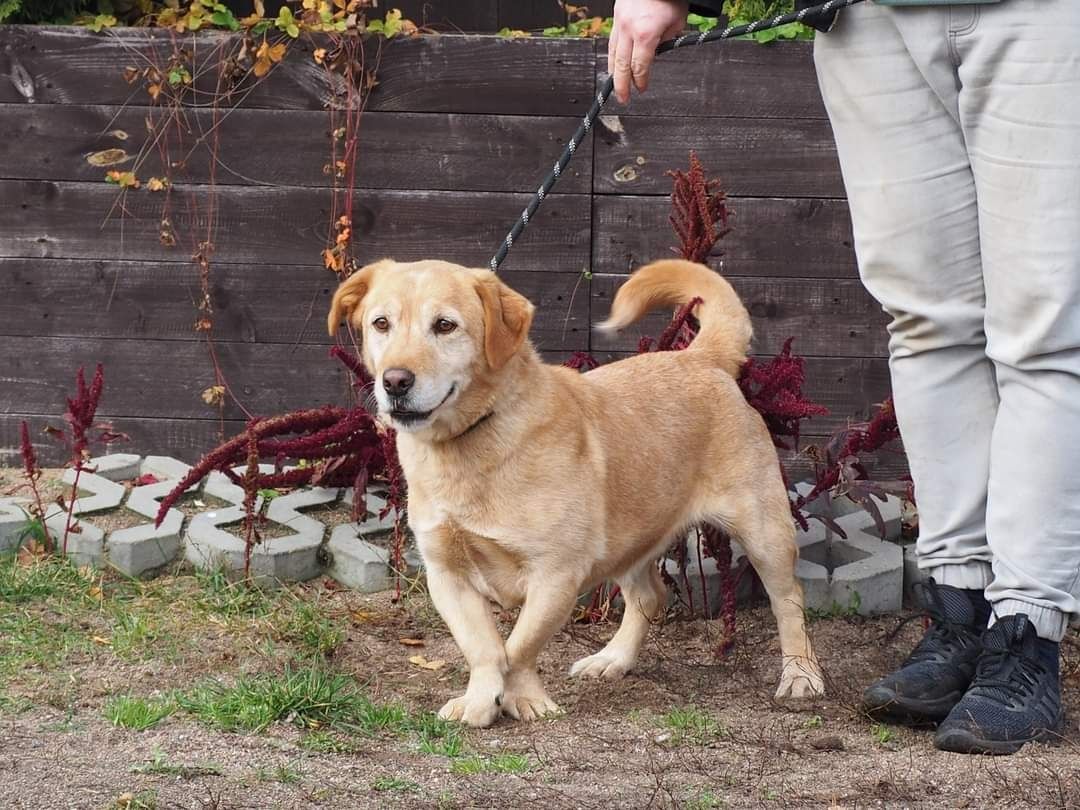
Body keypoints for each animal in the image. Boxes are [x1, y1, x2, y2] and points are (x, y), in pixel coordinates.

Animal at [324, 258, 820, 730]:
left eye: (445, 325)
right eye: (381, 323)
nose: (395, 381)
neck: (470, 446)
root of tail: (701, 358)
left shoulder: (555, 574)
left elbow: (519, 647)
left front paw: (524, 699)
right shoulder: (447, 574)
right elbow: (484, 647)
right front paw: (481, 700)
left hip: (764, 533)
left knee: (789, 600)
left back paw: (801, 676)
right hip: (629, 537)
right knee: (650, 597)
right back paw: (613, 659)